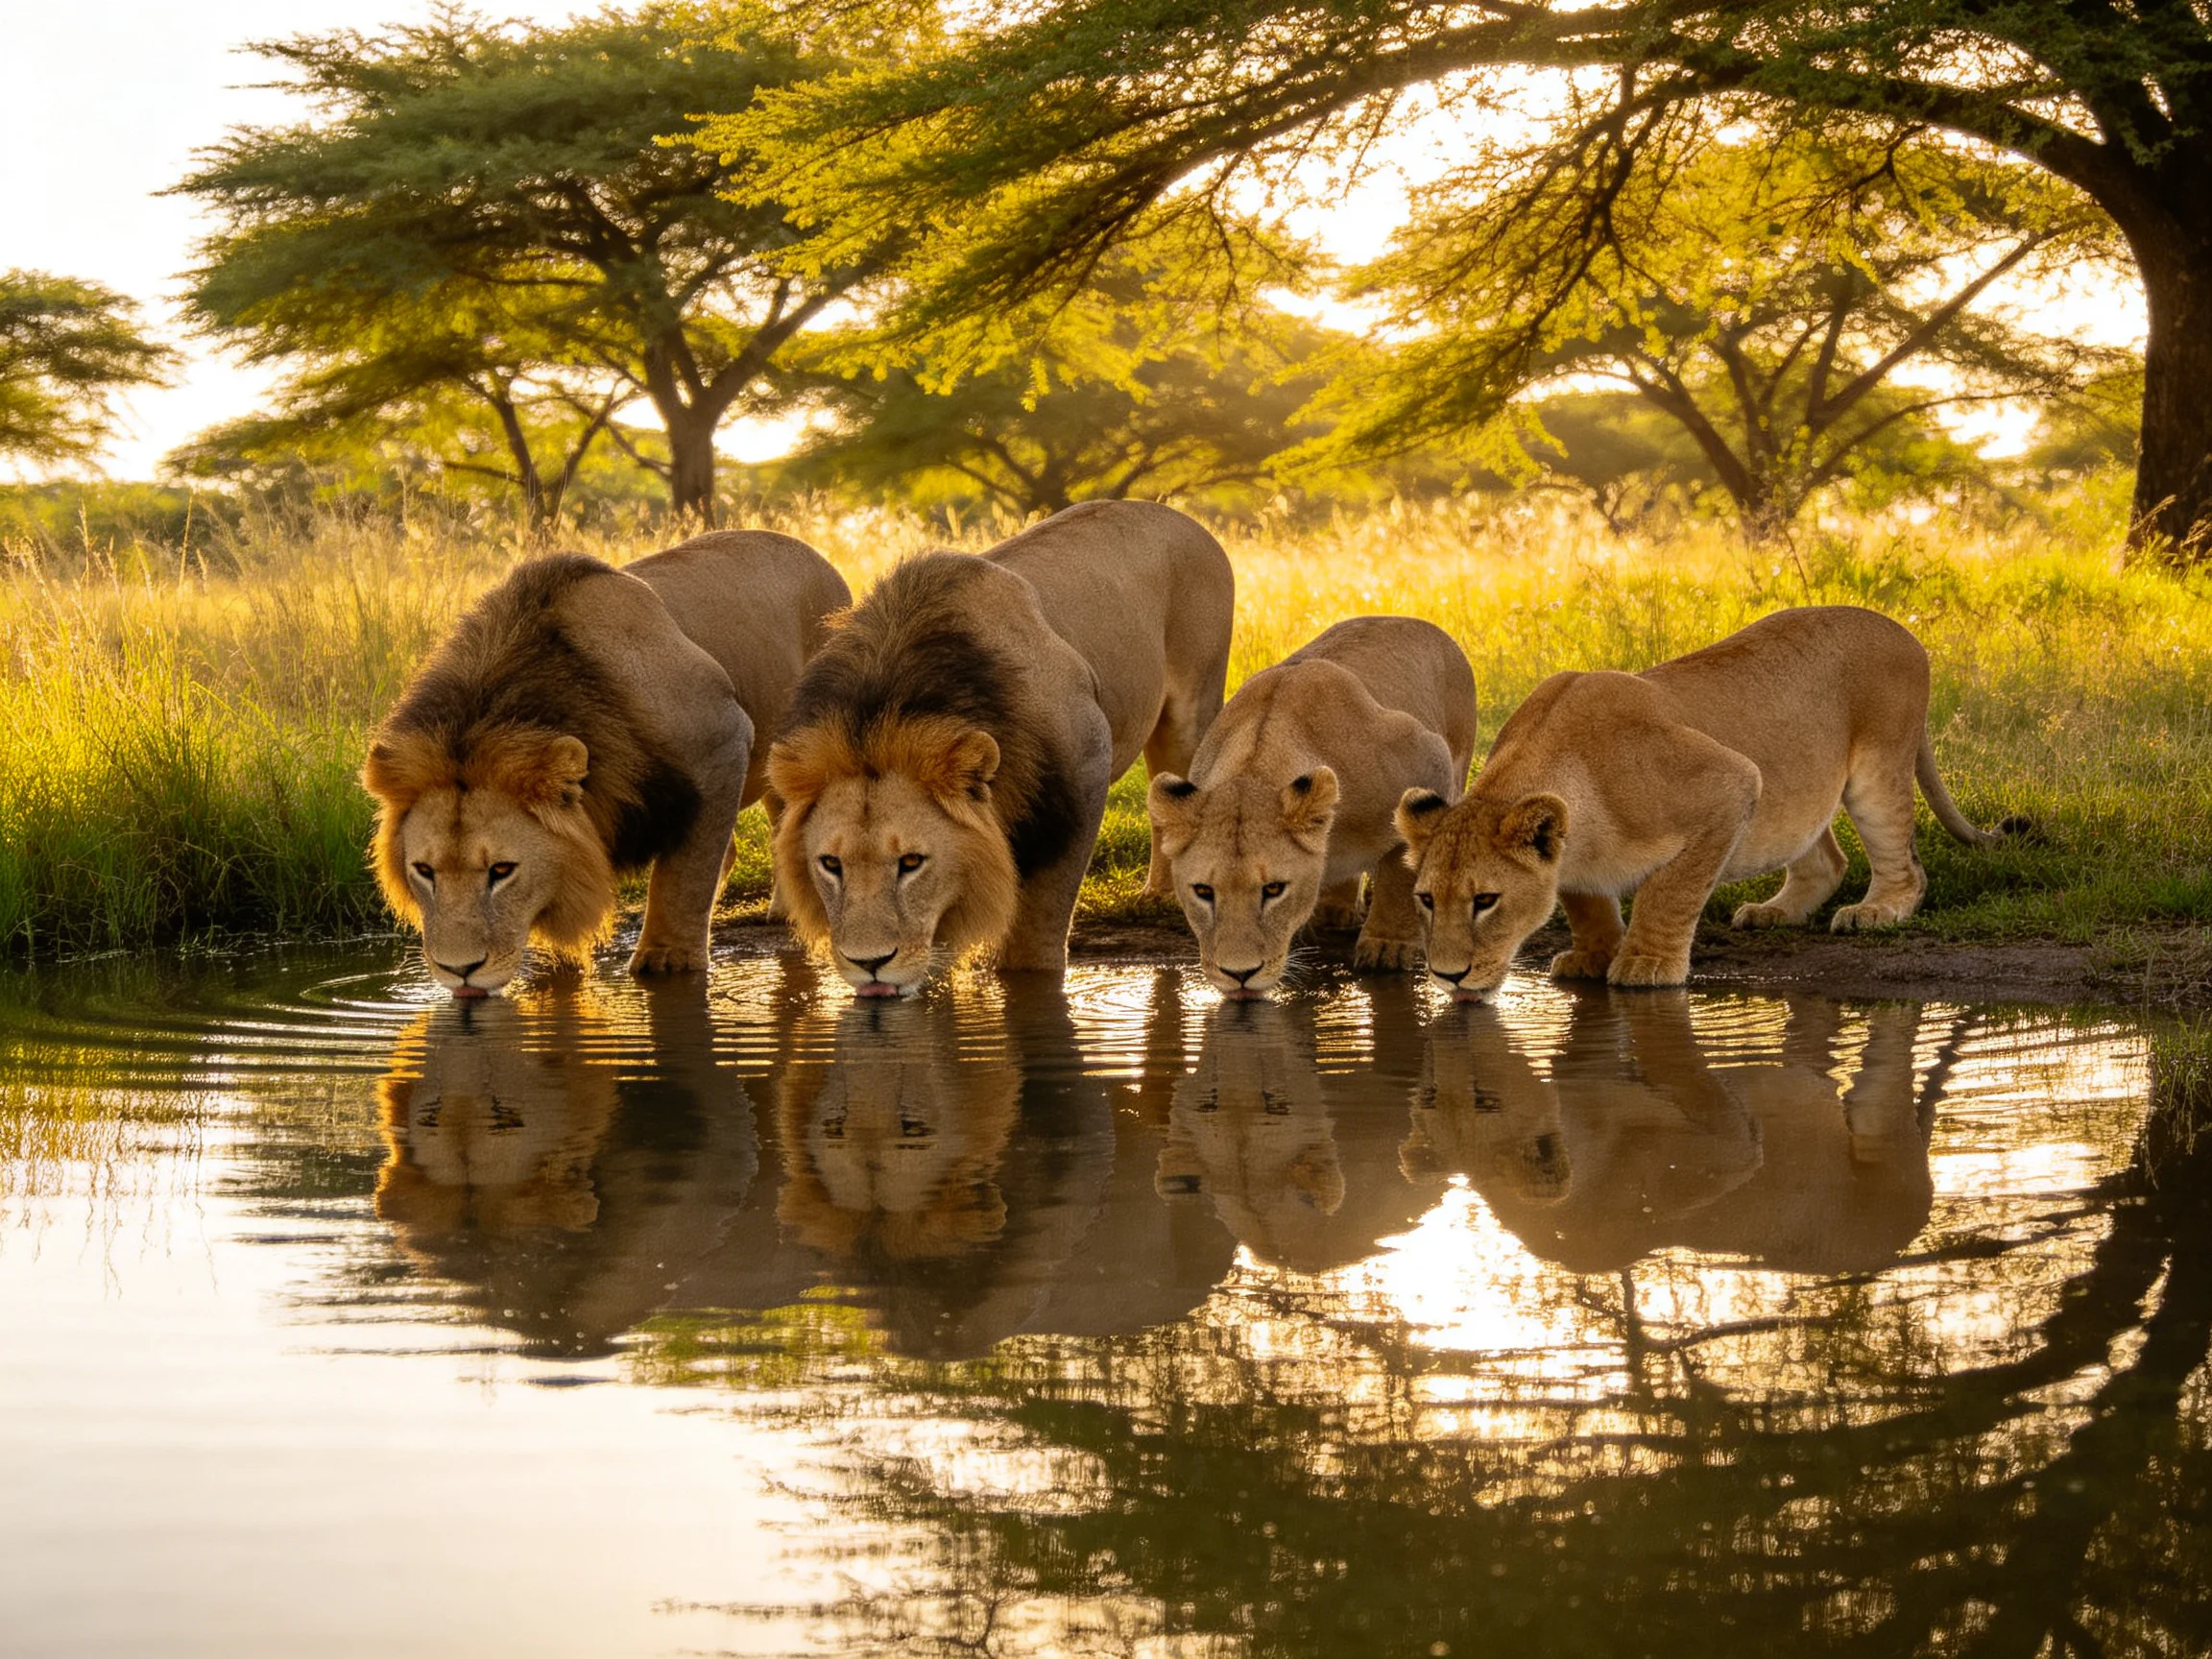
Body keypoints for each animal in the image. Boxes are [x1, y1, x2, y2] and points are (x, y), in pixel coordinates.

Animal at [363, 530, 850, 994]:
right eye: (424, 871)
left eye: (501, 871)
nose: (458, 971)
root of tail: (815, 554)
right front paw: (554, 970)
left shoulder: (723, 737)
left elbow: (682, 882)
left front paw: (668, 963)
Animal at [768, 500, 1234, 995]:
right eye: (830, 863)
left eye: (911, 861)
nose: (868, 962)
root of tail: (1171, 511)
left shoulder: (1085, 771)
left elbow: (1035, 937)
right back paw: (1158, 894)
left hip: (1193, 708)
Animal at [1147, 616, 1476, 994]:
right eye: (1203, 891)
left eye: (1273, 889)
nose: (1239, 975)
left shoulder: (1428, 761)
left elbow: (1398, 872)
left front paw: (1386, 947)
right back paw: (1333, 909)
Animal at [1393, 605, 2023, 995]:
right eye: (1425, 900)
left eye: (1486, 900)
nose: (1447, 977)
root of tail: (1902, 629)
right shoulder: (1574, 850)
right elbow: (1585, 901)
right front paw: (1594, 956)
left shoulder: (1732, 783)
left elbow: (1671, 892)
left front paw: (1645, 963)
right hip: (1796, 785)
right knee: (1826, 860)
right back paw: (1776, 912)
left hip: (1878, 768)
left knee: (1906, 865)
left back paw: (1876, 911)